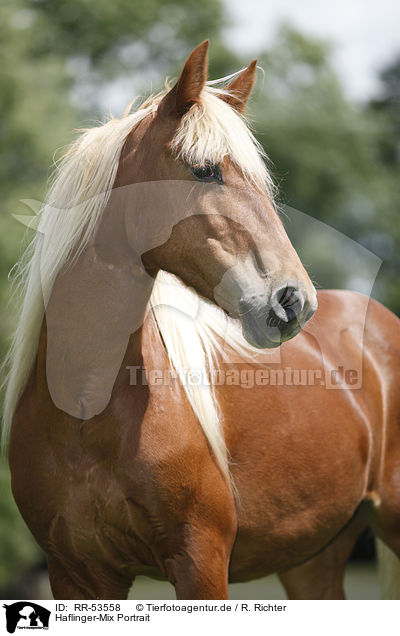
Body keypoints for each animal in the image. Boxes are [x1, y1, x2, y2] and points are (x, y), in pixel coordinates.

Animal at [2, 42, 400, 600]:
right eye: (205, 171)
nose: (294, 300)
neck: (85, 414)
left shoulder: (200, 562)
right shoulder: (76, 574)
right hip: (313, 559)